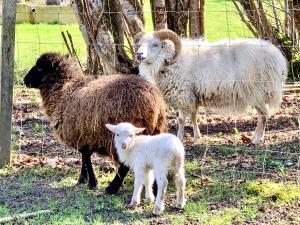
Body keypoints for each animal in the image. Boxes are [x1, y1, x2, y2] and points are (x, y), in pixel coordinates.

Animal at [23, 53, 166, 193]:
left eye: (40, 68)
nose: (24, 80)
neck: (62, 91)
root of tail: (153, 102)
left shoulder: (81, 135)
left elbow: (86, 157)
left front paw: (91, 182)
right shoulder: (84, 136)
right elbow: (84, 158)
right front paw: (82, 179)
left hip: (124, 133)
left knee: (125, 164)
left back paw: (112, 188)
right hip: (155, 130)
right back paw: (155, 188)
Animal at [134, 29, 288, 144]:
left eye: (155, 44)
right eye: (139, 44)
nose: (138, 54)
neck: (169, 61)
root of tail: (276, 57)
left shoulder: (183, 94)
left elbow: (182, 119)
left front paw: (179, 138)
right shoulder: (192, 95)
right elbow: (194, 116)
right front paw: (197, 137)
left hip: (256, 91)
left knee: (263, 115)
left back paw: (257, 139)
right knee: (262, 115)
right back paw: (254, 137)